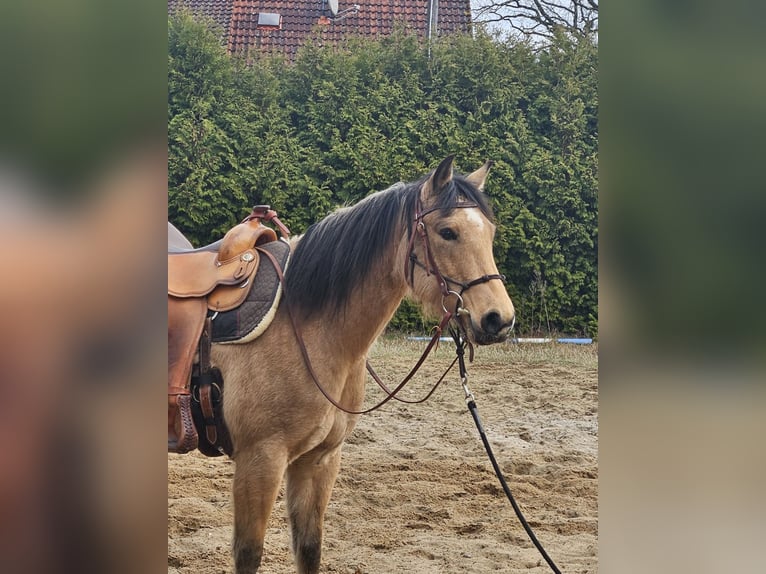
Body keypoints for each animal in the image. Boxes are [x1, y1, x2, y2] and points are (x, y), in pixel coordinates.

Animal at [211, 156, 516, 573]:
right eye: (448, 232)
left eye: (490, 233)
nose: (498, 319)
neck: (303, 323)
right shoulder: (260, 459)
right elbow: (249, 555)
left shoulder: (319, 460)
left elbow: (309, 548)